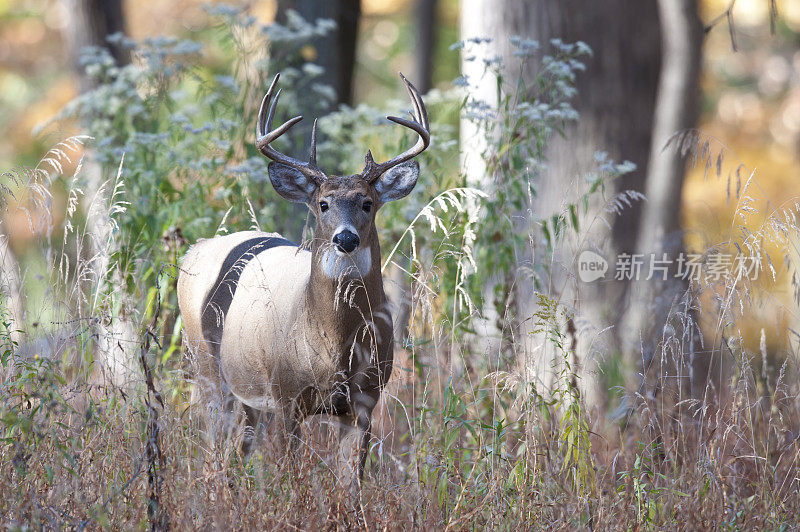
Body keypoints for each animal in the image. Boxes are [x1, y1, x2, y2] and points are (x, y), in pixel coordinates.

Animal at [177, 72, 428, 496]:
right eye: (323, 205)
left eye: (367, 203)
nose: (346, 239)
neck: (333, 348)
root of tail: (193, 250)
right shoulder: (287, 395)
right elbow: (290, 477)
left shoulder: (365, 400)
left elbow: (351, 488)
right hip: (207, 367)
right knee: (213, 451)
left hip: (246, 393)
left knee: (237, 451)